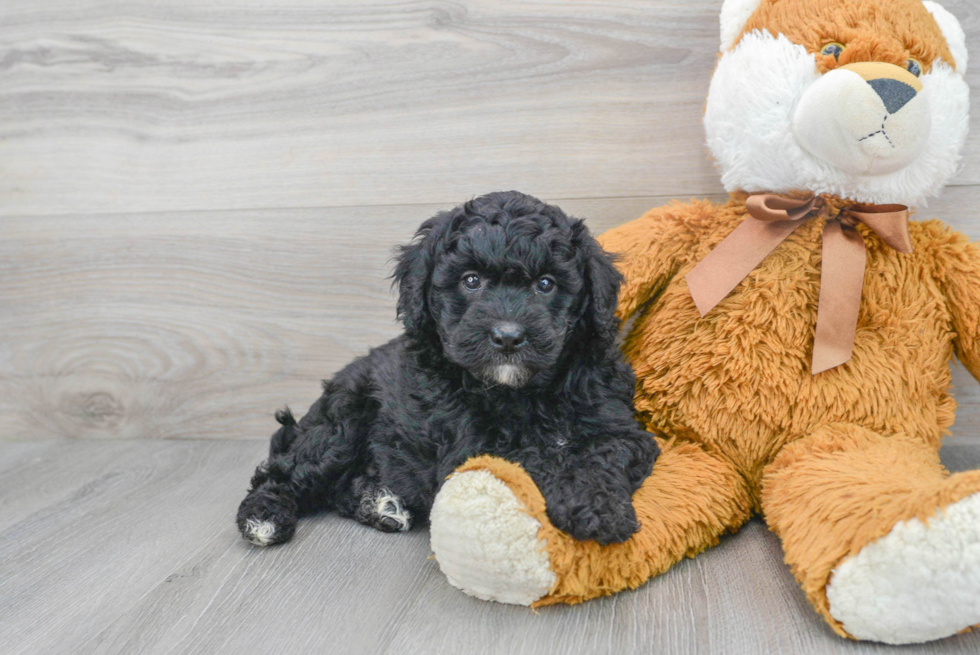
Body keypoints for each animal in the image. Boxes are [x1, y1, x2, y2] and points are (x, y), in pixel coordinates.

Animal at [235, 191, 660, 548]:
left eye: (546, 284)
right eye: (471, 281)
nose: (508, 336)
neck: (522, 392)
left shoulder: (620, 428)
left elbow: (598, 456)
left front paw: (599, 504)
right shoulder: (469, 448)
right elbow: (537, 458)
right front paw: (591, 508)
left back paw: (381, 504)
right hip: (340, 425)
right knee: (283, 473)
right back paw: (264, 517)